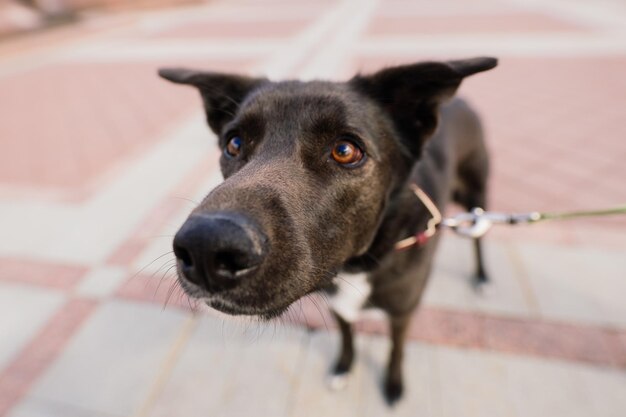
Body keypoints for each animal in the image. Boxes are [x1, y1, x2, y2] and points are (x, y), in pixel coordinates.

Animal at [158, 56, 494, 404]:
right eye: (233, 144)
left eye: (345, 151)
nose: (205, 248)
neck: (358, 265)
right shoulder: (337, 305)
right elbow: (347, 337)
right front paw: (343, 368)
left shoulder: (402, 311)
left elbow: (396, 349)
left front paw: (394, 385)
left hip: (476, 197)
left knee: (479, 238)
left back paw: (482, 277)